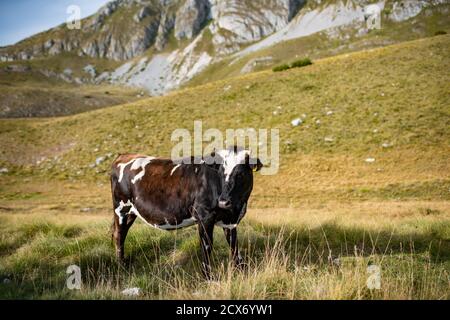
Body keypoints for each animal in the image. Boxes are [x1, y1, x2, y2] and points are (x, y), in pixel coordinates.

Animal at [110, 148, 262, 278]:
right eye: (220, 173)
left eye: (240, 173)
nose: (223, 202)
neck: (236, 209)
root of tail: (124, 155)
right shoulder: (204, 216)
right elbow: (207, 246)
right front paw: (208, 277)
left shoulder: (230, 221)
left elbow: (234, 245)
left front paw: (241, 269)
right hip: (121, 208)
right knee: (119, 235)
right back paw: (121, 266)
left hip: (130, 213)